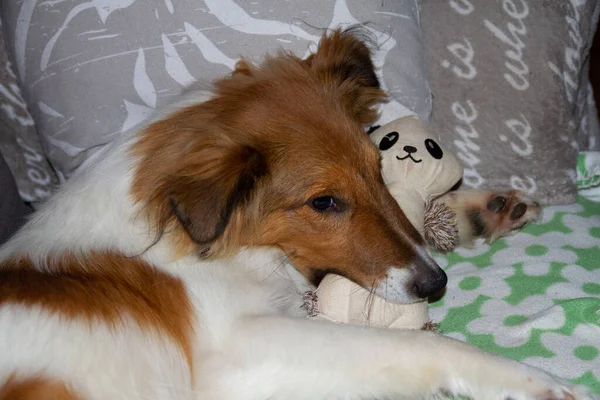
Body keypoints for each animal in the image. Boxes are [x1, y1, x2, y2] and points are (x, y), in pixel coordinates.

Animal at [0, 28, 592, 400]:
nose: (436, 284)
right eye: (324, 202)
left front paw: (482, 209)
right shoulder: (236, 351)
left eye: (378, 167)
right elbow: (409, 342)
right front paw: (536, 381)